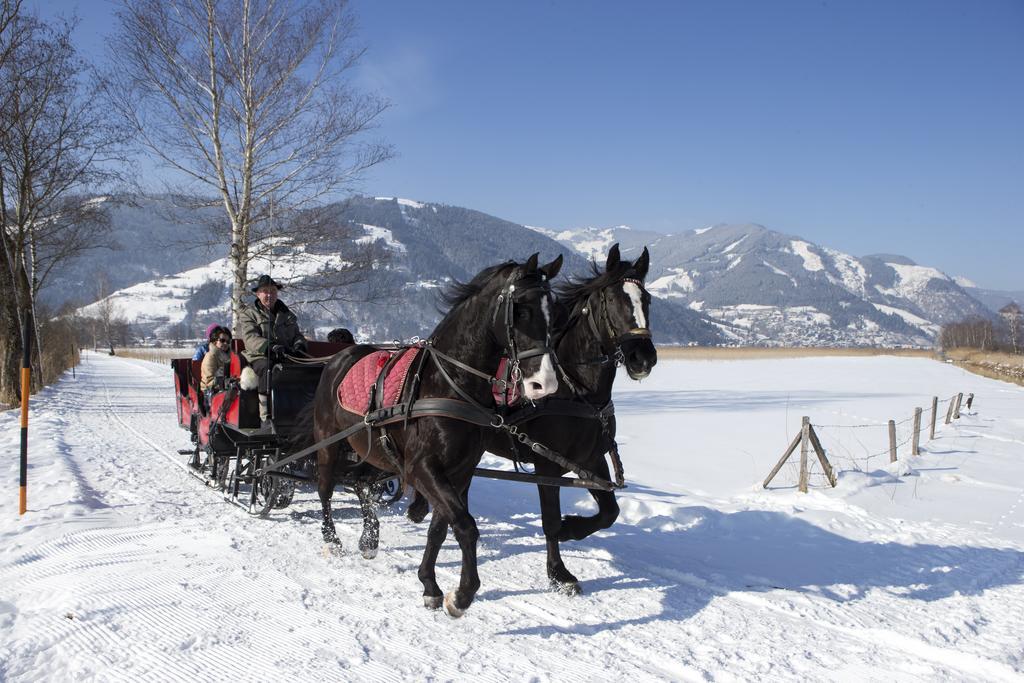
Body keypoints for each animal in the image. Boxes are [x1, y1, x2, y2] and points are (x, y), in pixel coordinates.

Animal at [307, 253, 565, 618]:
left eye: (553, 312)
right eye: (521, 310)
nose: (545, 384)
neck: (449, 384)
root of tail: (337, 357)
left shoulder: (460, 471)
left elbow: (440, 528)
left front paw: (430, 585)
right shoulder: (422, 468)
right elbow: (466, 526)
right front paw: (462, 594)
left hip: (374, 451)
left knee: (361, 484)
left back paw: (369, 539)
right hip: (329, 442)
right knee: (326, 489)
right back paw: (331, 539)